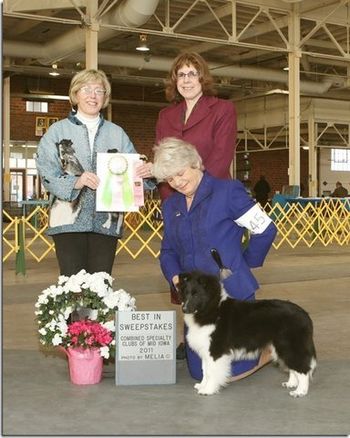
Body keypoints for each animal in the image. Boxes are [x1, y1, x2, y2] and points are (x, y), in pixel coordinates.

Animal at [178, 270, 318, 396]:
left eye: (196, 295)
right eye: (185, 293)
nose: (184, 309)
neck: (212, 309)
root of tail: (305, 315)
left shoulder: (215, 350)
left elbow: (212, 371)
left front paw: (208, 390)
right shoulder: (206, 349)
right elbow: (205, 370)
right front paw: (202, 385)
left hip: (288, 345)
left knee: (303, 368)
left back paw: (300, 391)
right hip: (281, 347)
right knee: (293, 367)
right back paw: (291, 384)